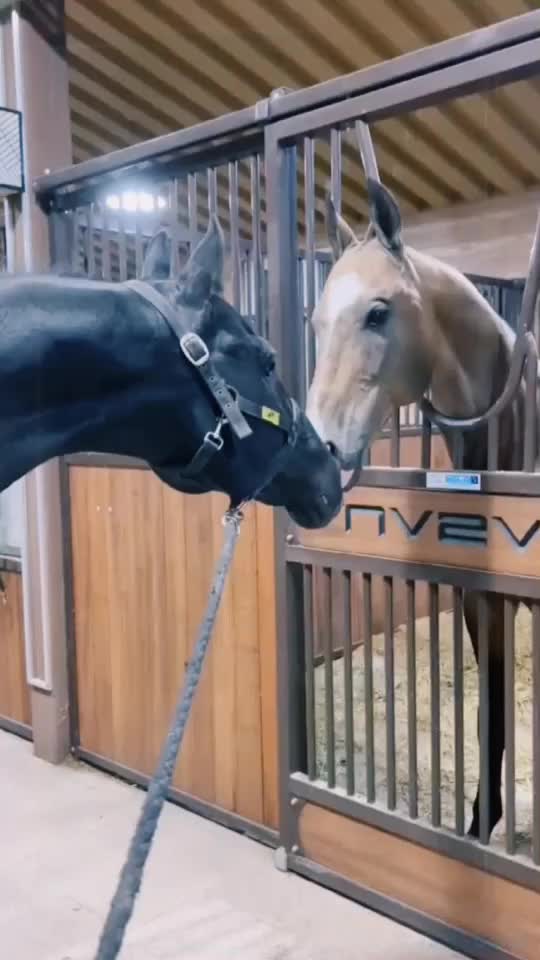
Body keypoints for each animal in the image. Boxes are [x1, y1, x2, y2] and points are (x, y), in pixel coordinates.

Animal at [306, 177, 537, 840]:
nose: (319, 450)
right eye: (315, 320)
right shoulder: (481, 598)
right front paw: (482, 820)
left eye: (379, 311)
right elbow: (491, 707)